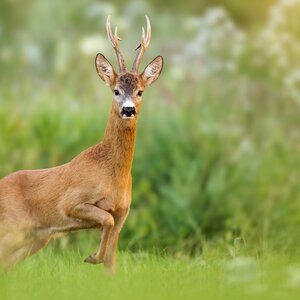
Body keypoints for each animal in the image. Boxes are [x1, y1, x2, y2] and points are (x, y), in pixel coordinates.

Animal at [0, 15, 164, 272]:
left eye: (140, 91)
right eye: (116, 90)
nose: (128, 110)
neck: (112, 175)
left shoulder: (122, 214)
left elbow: (112, 261)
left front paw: (99, 259)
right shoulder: (71, 203)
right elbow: (105, 221)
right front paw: (92, 256)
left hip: (32, 239)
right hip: (10, 229)